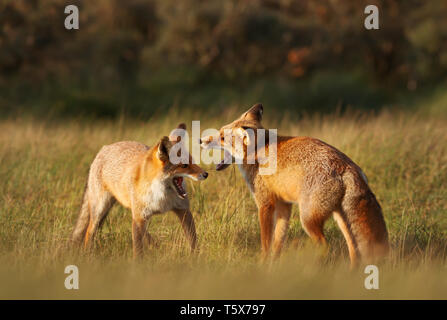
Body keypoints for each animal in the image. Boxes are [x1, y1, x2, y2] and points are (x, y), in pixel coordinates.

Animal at [72, 122, 208, 258]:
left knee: (146, 234)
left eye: (193, 161)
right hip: (100, 209)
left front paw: (195, 258)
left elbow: (193, 241)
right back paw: (87, 254)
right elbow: (138, 250)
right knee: (89, 232)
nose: (206, 174)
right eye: (184, 165)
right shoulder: (139, 218)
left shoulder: (183, 210)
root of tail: (104, 148)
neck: (162, 196)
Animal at [201, 104, 390, 266]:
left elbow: (266, 242)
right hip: (340, 218)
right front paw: (273, 266)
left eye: (222, 137)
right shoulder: (284, 205)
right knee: (354, 251)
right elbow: (278, 242)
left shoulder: (265, 203)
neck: (259, 150)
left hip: (307, 219)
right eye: (219, 132)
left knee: (324, 246)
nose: (200, 140)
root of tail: (346, 166)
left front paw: (262, 264)